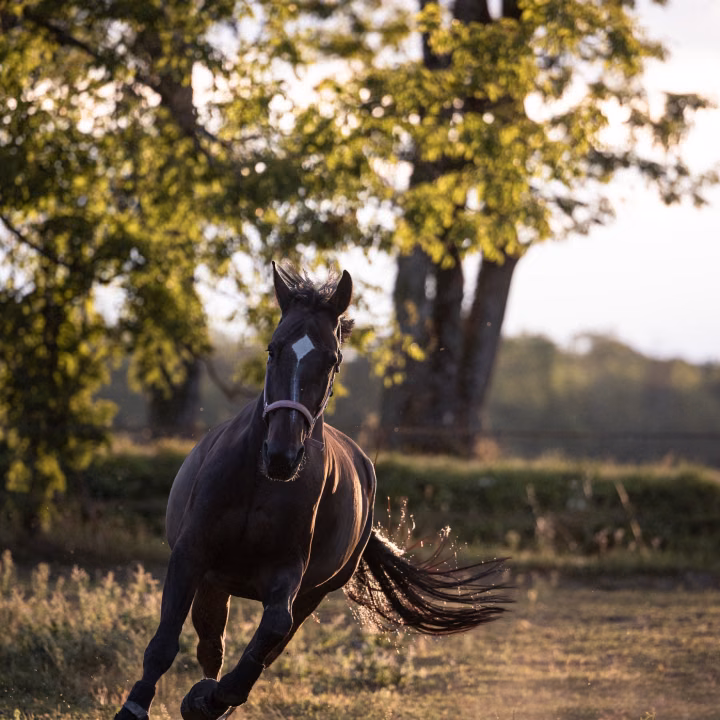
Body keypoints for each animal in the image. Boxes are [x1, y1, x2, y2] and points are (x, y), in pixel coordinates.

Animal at [115, 263, 510, 720]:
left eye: (333, 360)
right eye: (272, 350)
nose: (282, 456)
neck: (259, 485)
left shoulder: (289, 575)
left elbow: (269, 636)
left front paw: (207, 700)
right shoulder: (191, 555)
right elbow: (164, 642)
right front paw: (136, 706)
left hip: (311, 593)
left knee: (260, 648)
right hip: (216, 582)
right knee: (212, 645)